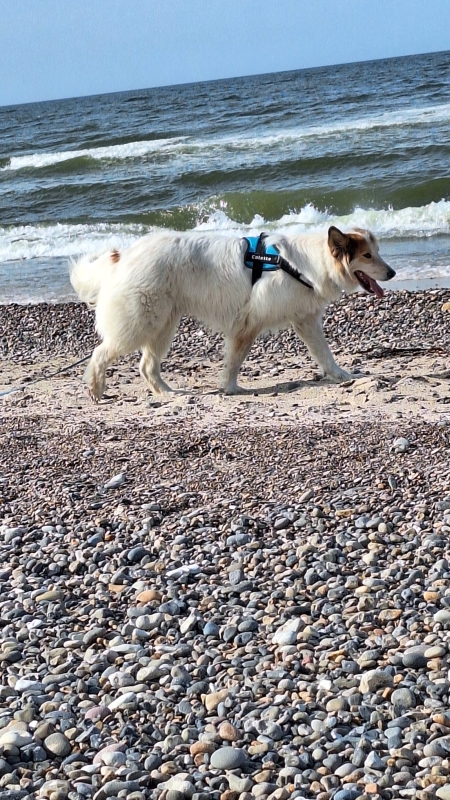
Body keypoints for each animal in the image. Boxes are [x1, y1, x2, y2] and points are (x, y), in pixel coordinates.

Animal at [70, 226, 395, 401]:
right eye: (368, 256)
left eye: (378, 252)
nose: (392, 273)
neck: (304, 264)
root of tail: (123, 255)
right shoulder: (249, 322)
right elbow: (235, 360)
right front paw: (230, 388)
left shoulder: (305, 322)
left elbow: (325, 354)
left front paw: (341, 375)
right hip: (142, 321)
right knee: (101, 353)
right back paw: (96, 389)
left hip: (163, 325)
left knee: (147, 366)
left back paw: (168, 394)